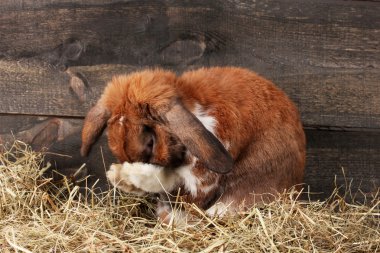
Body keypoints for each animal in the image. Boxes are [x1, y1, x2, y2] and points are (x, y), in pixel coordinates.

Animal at [81, 66, 306, 222]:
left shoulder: (202, 179)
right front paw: (120, 176)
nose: (125, 165)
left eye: (150, 142)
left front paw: (124, 175)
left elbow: (170, 184)